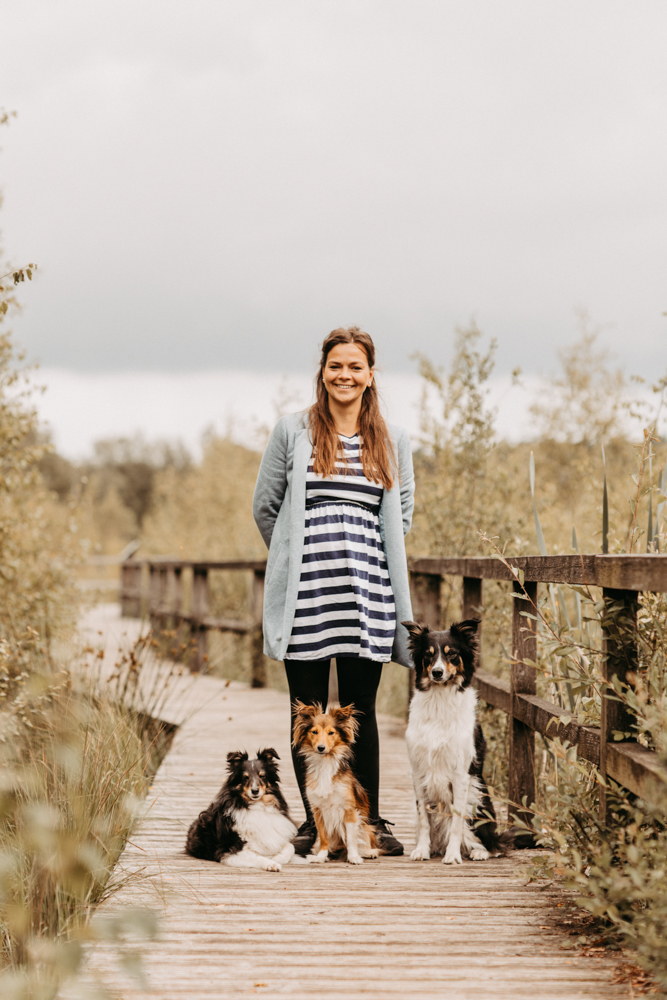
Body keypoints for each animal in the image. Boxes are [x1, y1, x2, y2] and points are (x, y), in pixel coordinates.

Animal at [404, 620, 516, 864]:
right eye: (428, 654)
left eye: (452, 654)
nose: (437, 672)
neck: (439, 700)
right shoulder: (417, 772)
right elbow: (423, 818)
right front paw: (422, 850)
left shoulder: (461, 774)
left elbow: (456, 821)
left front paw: (453, 854)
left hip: (479, 801)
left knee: (492, 843)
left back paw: (479, 851)